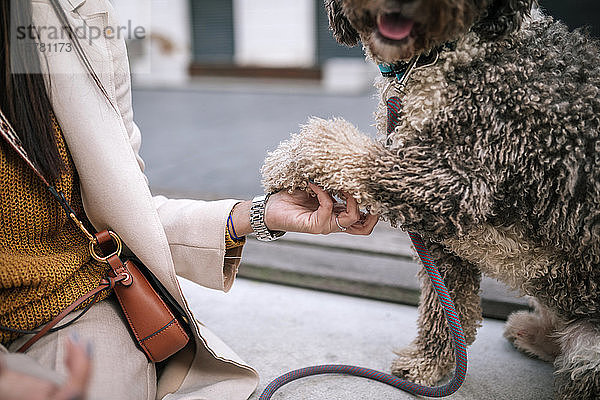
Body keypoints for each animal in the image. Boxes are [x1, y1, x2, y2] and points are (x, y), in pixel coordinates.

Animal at [262, 1, 600, 398]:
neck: (437, 58)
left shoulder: (454, 180)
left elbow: (338, 146)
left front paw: (290, 158)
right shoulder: (439, 232)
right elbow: (446, 308)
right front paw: (429, 363)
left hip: (590, 347)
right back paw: (533, 333)